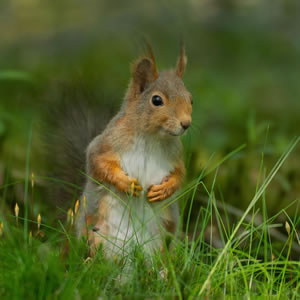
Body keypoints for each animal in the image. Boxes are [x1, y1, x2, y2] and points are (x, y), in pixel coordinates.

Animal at [62, 44, 192, 255]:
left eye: (191, 99)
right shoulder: (106, 143)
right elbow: (97, 162)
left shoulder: (175, 155)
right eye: (157, 100)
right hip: (96, 231)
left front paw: (164, 190)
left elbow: (179, 174)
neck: (151, 137)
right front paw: (127, 184)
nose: (186, 124)